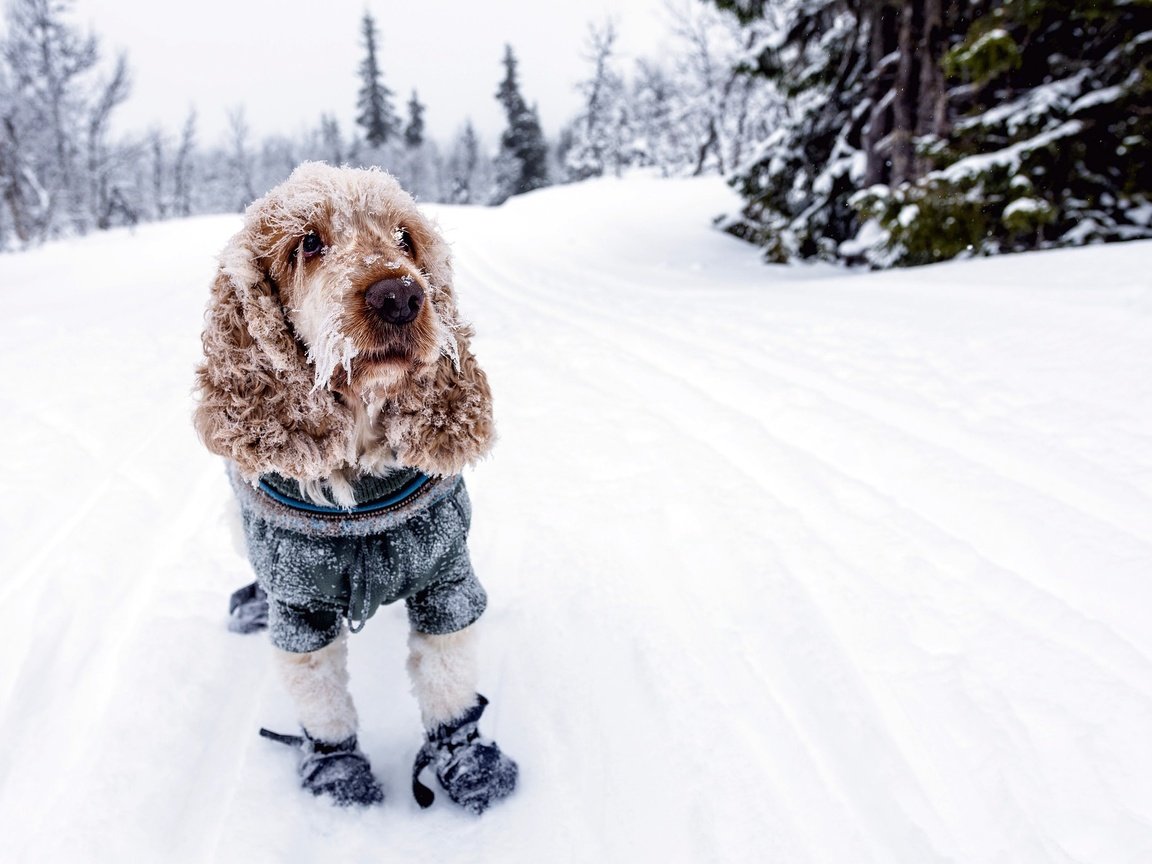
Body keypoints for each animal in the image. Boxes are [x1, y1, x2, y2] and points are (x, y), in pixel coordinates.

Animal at [194, 163, 518, 820]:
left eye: (404, 238)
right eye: (307, 243)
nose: (400, 296)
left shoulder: (446, 580)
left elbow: (448, 684)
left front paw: (468, 761)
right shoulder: (302, 609)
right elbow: (322, 704)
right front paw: (336, 770)